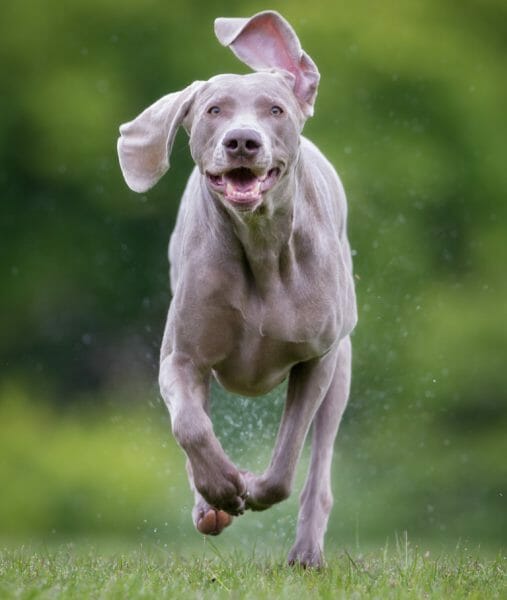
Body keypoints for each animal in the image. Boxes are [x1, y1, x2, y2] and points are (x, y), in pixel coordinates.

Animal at [118, 11, 358, 568]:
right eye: (213, 110)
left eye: (275, 110)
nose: (242, 141)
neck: (262, 248)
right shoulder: (181, 356)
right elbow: (190, 426)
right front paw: (222, 488)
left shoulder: (318, 358)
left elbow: (287, 459)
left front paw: (250, 486)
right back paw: (210, 503)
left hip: (343, 363)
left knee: (319, 467)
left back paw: (306, 553)